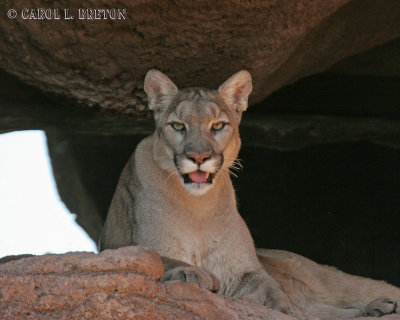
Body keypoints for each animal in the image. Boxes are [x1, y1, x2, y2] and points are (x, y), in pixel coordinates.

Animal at [101, 70, 400, 318]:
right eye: (177, 126)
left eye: (218, 126)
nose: (198, 157)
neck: (199, 209)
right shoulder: (127, 245)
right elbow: (156, 257)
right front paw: (192, 272)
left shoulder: (244, 271)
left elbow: (273, 290)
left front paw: (287, 309)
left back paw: (379, 305)